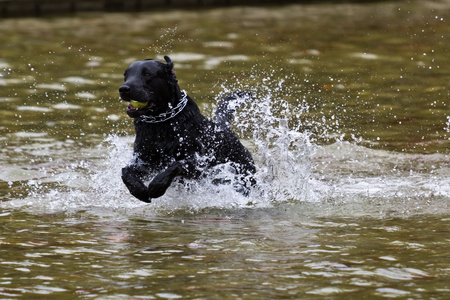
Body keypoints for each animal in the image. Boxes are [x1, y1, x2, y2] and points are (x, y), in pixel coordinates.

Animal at [118, 55, 255, 204]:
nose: (123, 88)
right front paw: (138, 190)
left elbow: (176, 165)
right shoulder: (144, 161)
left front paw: (157, 186)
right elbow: (125, 172)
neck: (161, 124)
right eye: (126, 75)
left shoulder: (199, 160)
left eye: (147, 74)